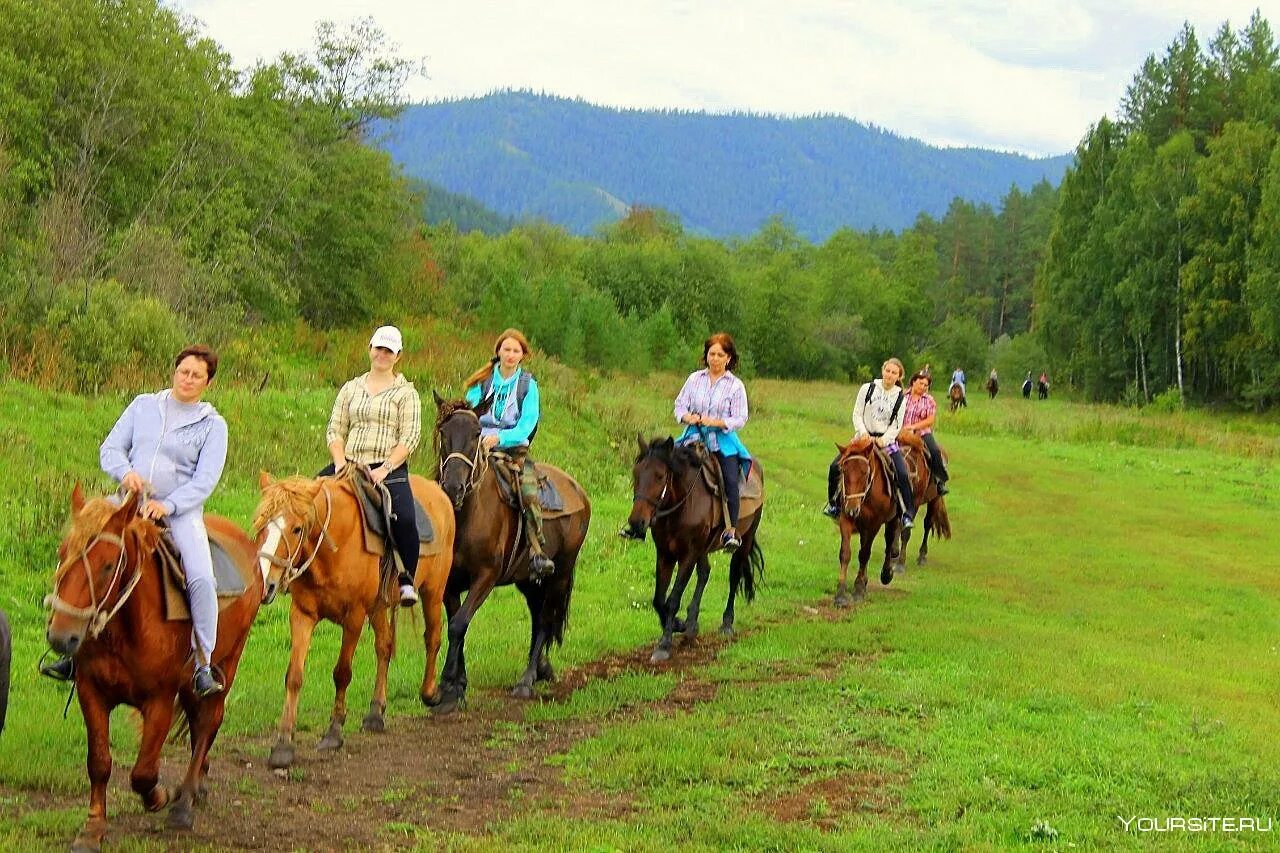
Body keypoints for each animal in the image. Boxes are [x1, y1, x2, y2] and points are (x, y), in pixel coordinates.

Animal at [45, 484, 262, 850]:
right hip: (191, 683)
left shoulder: (159, 701)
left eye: (107, 565)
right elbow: (99, 763)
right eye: (63, 553)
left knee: (208, 722)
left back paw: (184, 804)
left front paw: (162, 796)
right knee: (198, 723)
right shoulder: (91, 693)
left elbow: (143, 773)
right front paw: (92, 829)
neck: (126, 629)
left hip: (225, 665)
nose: (62, 637)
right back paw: (198, 786)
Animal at [253, 468, 455, 768]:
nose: (265, 584)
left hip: (434, 590)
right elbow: (294, 676)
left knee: (433, 638)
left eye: (296, 528)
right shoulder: (302, 614)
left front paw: (334, 732)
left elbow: (342, 673)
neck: (333, 547)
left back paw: (431, 694)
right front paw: (283, 744)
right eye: (261, 523)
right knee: (384, 647)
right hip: (380, 606)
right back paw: (375, 713)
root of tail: (439, 494)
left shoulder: (355, 616)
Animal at [430, 394, 588, 712]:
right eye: (443, 432)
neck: (466, 518)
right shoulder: (449, 584)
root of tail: (580, 493)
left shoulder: (485, 578)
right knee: (538, 615)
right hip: (528, 580)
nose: (453, 487)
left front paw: (447, 687)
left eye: (476, 434)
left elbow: (459, 625)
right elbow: (455, 625)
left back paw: (526, 681)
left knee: (545, 619)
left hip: (560, 573)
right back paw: (541, 669)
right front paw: (457, 687)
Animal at [624, 435, 762, 660]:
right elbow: (659, 600)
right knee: (705, 572)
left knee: (734, 576)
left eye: (660, 476)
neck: (682, 503)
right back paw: (691, 624)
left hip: (744, 540)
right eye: (636, 473)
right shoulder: (665, 554)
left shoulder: (687, 555)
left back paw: (726, 624)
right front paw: (679, 624)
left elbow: (673, 599)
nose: (637, 523)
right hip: (703, 548)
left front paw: (664, 644)